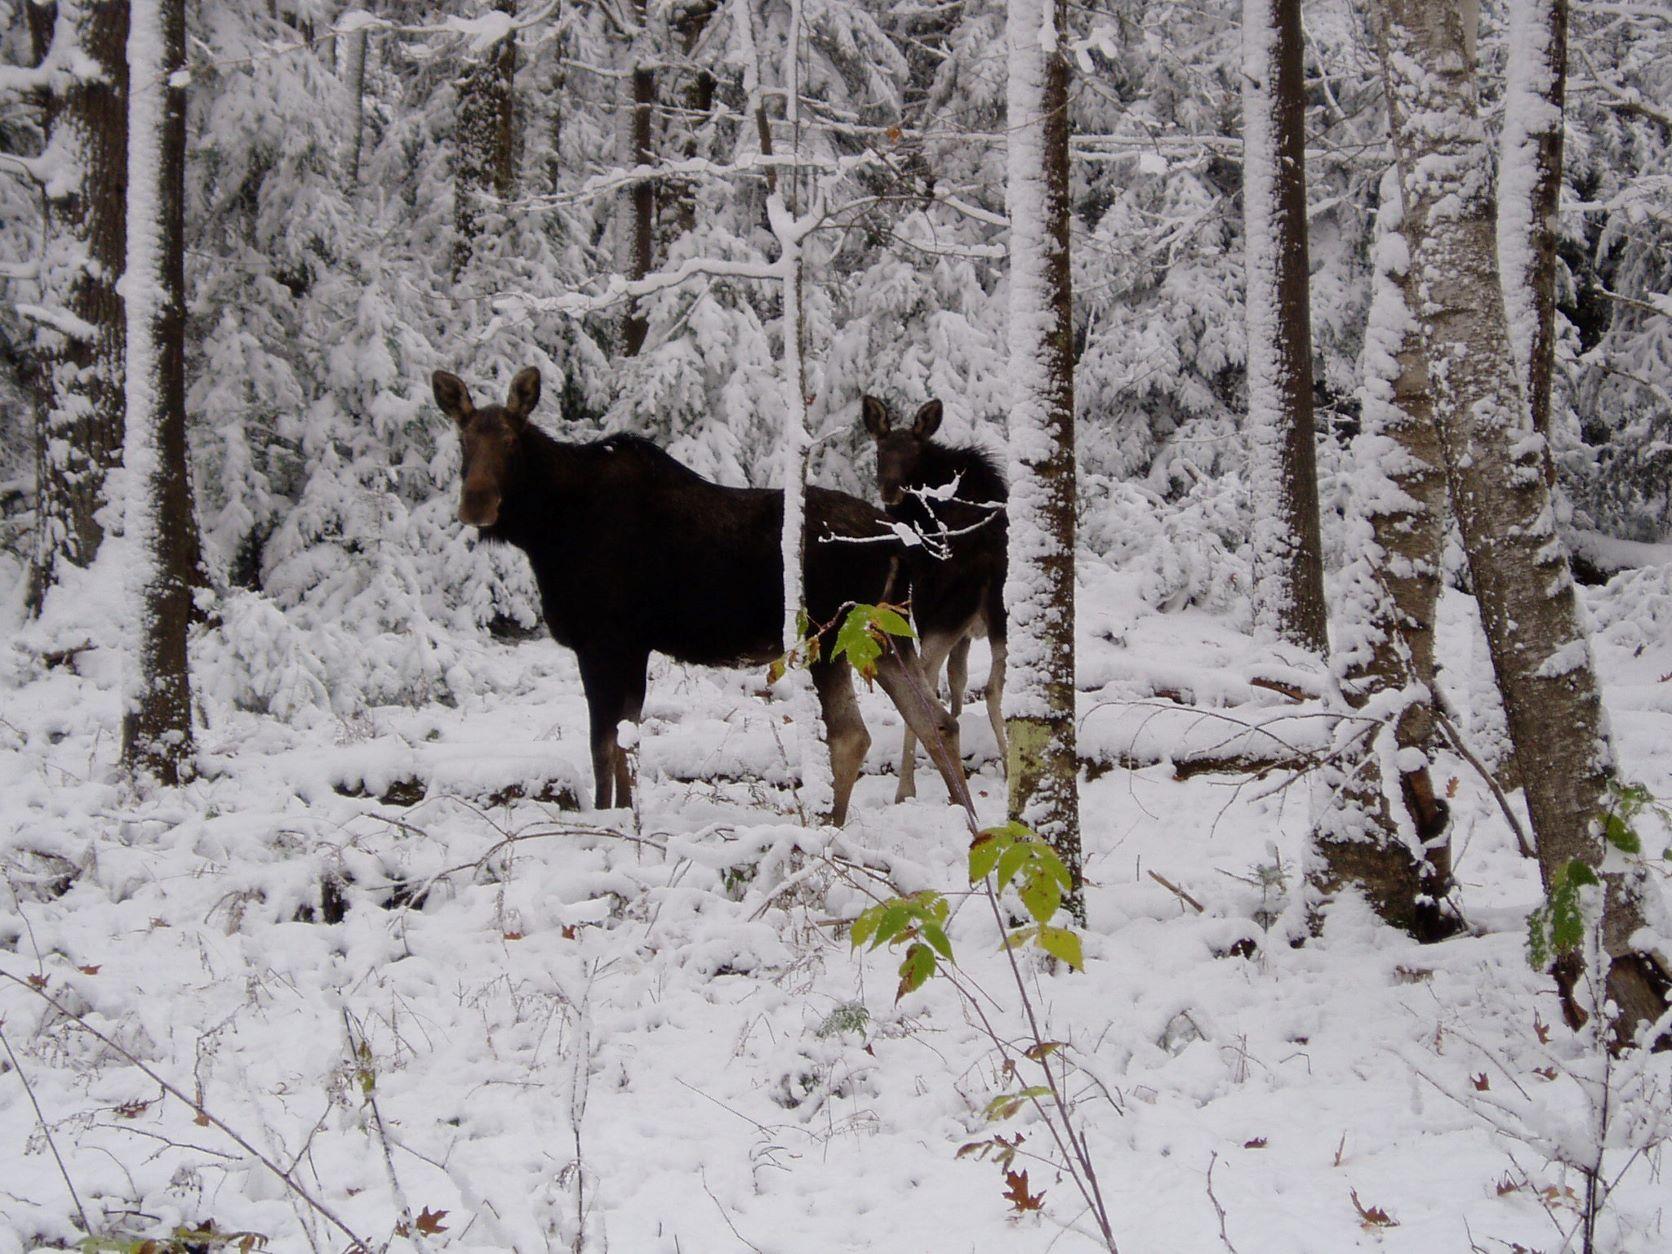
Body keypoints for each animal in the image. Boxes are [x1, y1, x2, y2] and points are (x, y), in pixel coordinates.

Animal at [438, 362, 963, 825]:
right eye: (462, 441)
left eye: (510, 441)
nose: (476, 503)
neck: (546, 532)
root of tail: (899, 544)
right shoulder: (632, 647)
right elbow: (625, 740)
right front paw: (625, 816)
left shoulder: (604, 642)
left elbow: (603, 745)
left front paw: (607, 821)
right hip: (886, 631)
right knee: (936, 720)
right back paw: (968, 820)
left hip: (829, 632)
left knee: (853, 736)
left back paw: (830, 827)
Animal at [862, 397, 1003, 799]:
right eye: (880, 450)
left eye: (914, 453)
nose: (890, 490)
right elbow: (959, 679)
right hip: (994, 611)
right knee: (991, 686)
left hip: (943, 610)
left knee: (924, 682)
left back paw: (906, 788)